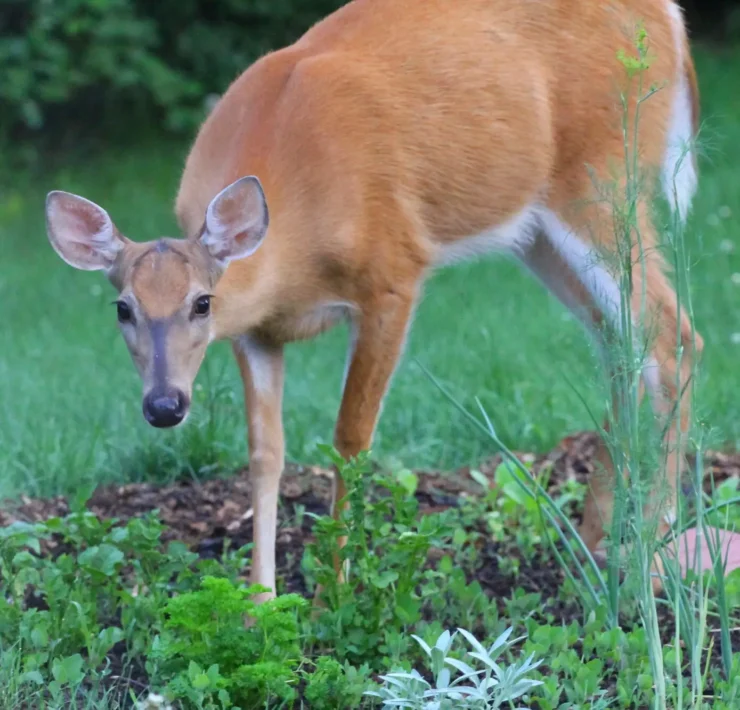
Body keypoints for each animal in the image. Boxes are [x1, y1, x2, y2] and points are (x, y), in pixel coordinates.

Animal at [43, 0, 704, 604]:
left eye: (202, 303)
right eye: (123, 309)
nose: (164, 405)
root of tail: (671, 18)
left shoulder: (393, 276)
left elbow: (350, 439)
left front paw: (335, 594)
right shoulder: (255, 332)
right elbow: (264, 453)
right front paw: (259, 604)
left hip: (603, 175)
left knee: (672, 334)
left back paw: (651, 558)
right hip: (537, 231)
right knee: (620, 344)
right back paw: (594, 547)